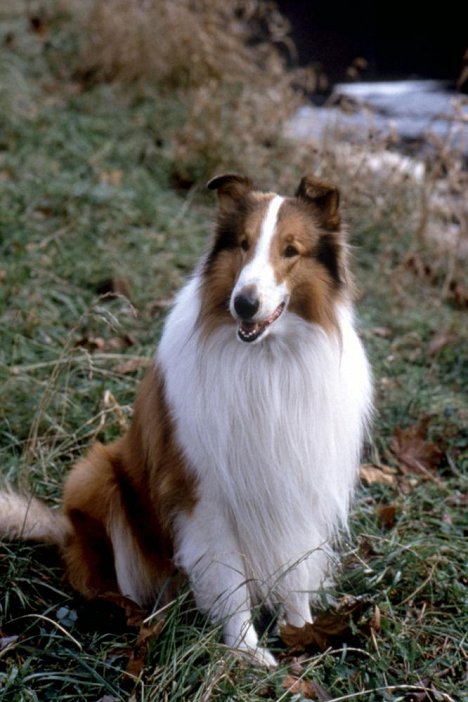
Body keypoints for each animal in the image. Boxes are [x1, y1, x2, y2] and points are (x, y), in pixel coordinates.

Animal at [0, 173, 372, 668]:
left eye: (291, 250)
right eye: (243, 244)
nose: (244, 304)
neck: (267, 361)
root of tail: (64, 532)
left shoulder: (299, 483)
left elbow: (296, 572)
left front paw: (302, 632)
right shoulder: (205, 495)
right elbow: (231, 582)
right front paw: (247, 651)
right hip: (96, 473)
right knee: (101, 580)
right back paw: (130, 614)